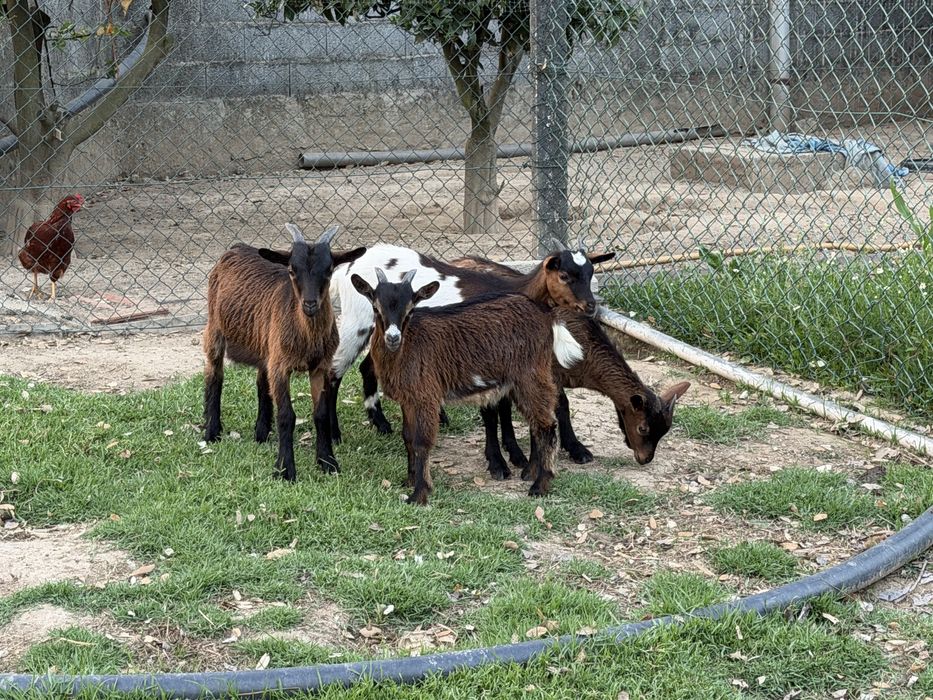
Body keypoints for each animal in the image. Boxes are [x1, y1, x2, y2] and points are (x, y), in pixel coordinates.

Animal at [203, 223, 366, 481]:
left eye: (329, 269)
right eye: (291, 269)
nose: (310, 303)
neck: (306, 338)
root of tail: (237, 247)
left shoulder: (319, 366)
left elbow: (320, 414)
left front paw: (328, 462)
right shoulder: (281, 367)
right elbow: (286, 416)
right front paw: (285, 469)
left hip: (265, 345)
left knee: (261, 381)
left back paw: (261, 433)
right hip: (215, 328)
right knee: (214, 374)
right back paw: (212, 432)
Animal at [327, 237, 614, 442]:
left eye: (591, 273)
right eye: (564, 276)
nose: (590, 306)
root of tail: (347, 269)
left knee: (367, 367)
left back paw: (382, 424)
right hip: (358, 322)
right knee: (334, 370)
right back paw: (335, 435)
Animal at [350, 268, 566, 505]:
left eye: (410, 309)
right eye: (375, 307)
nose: (393, 338)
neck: (407, 347)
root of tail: (543, 315)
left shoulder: (426, 396)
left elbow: (421, 442)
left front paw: (420, 493)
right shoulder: (408, 399)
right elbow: (407, 437)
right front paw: (409, 480)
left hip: (531, 375)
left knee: (546, 426)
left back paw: (540, 484)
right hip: (520, 383)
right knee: (537, 423)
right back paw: (531, 472)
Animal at [479, 307, 691, 480]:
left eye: (665, 430)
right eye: (642, 428)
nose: (645, 459)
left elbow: (562, 406)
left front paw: (576, 449)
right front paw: (532, 469)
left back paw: (514, 453)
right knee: (490, 410)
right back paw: (498, 465)